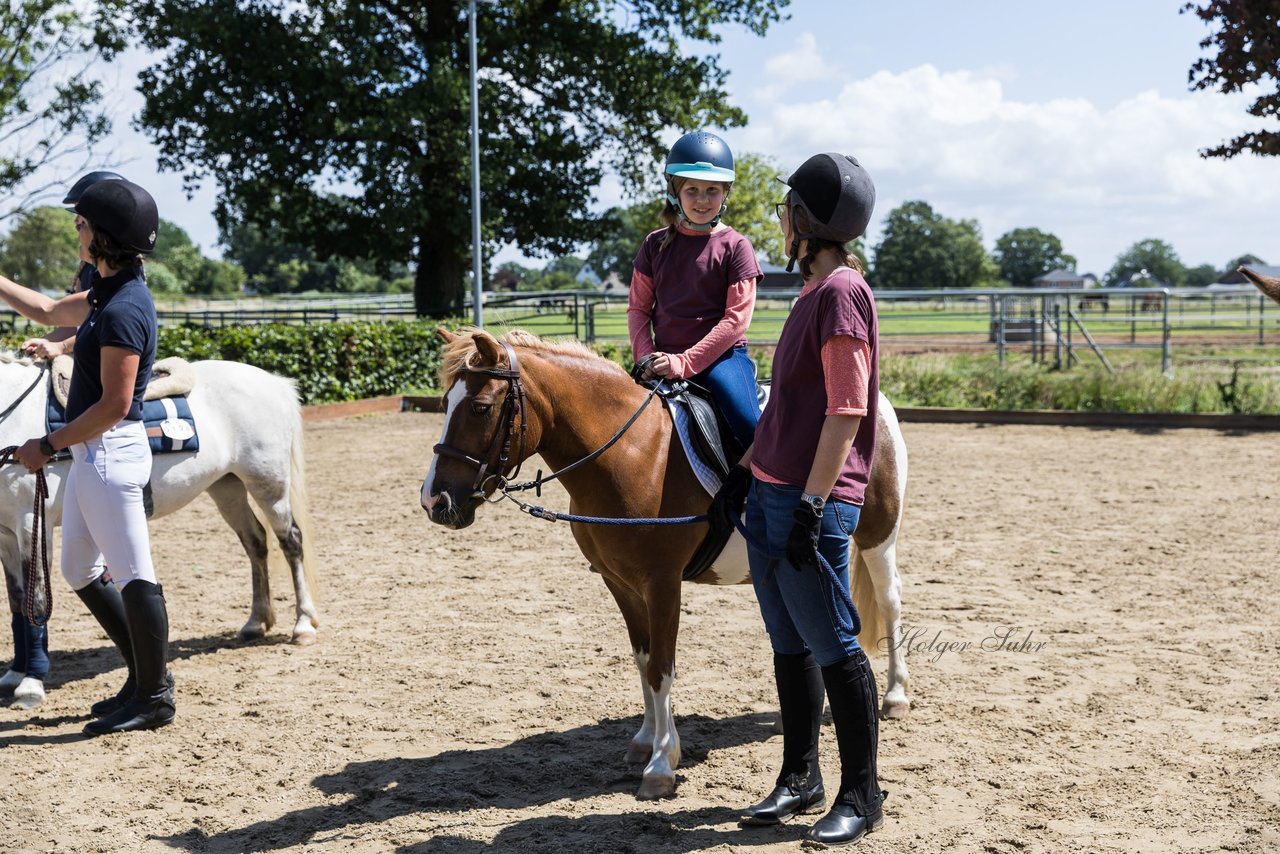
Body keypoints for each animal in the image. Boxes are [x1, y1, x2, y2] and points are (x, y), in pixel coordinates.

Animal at [0, 350, 318, 711]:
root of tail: (276, 382)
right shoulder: (6, 535)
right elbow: (17, 602)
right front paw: (14, 674)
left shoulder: (31, 524)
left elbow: (37, 602)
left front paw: (31, 684)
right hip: (227, 488)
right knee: (256, 543)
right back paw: (255, 622)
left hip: (269, 486)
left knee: (291, 542)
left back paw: (303, 624)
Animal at [419, 330, 911, 804]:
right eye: (444, 404)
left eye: (481, 408)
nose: (433, 500)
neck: (634, 454)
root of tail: (877, 404)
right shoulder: (620, 583)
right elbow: (643, 660)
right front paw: (645, 740)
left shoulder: (662, 585)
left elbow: (662, 666)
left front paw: (661, 764)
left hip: (877, 538)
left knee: (889, 604)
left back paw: (895, 696)